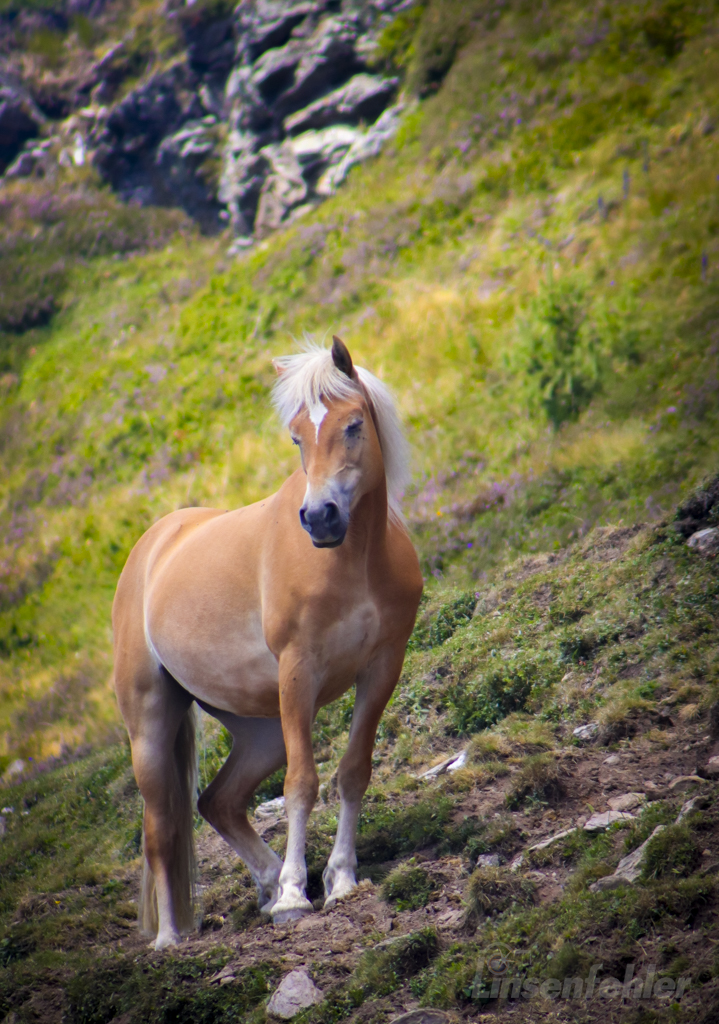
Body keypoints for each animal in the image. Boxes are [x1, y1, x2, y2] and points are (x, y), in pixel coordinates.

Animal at [113, 336, 423, 948]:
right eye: (298, 436)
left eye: (353, 425)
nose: (320, 517)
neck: (355, 563)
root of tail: (151, 547)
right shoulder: (298, 672)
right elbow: (302, 782)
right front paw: (294, 898)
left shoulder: (382, 667)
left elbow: (353, 771)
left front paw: (340, 880)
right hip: (151, 728)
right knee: (161, 830)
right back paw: (172, 939)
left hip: (261, 730)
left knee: (218, 802)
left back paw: (266, 881)